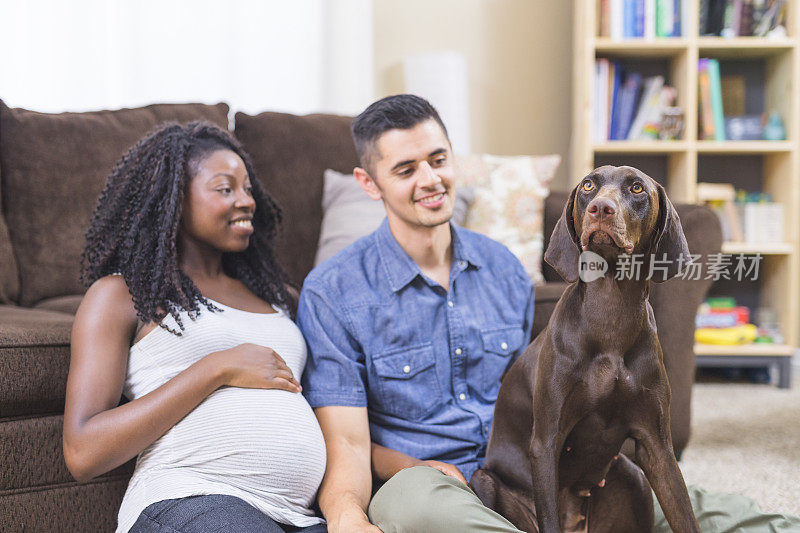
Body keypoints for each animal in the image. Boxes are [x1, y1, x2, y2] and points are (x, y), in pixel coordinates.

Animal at [472, 166, 696, 532]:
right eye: (589, 185)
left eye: (637, 188)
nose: (600, 209)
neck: (610, 313)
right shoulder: (546, 442)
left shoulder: (657, 447)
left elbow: (686, 516)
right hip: (485, 482)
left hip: (632, 477)